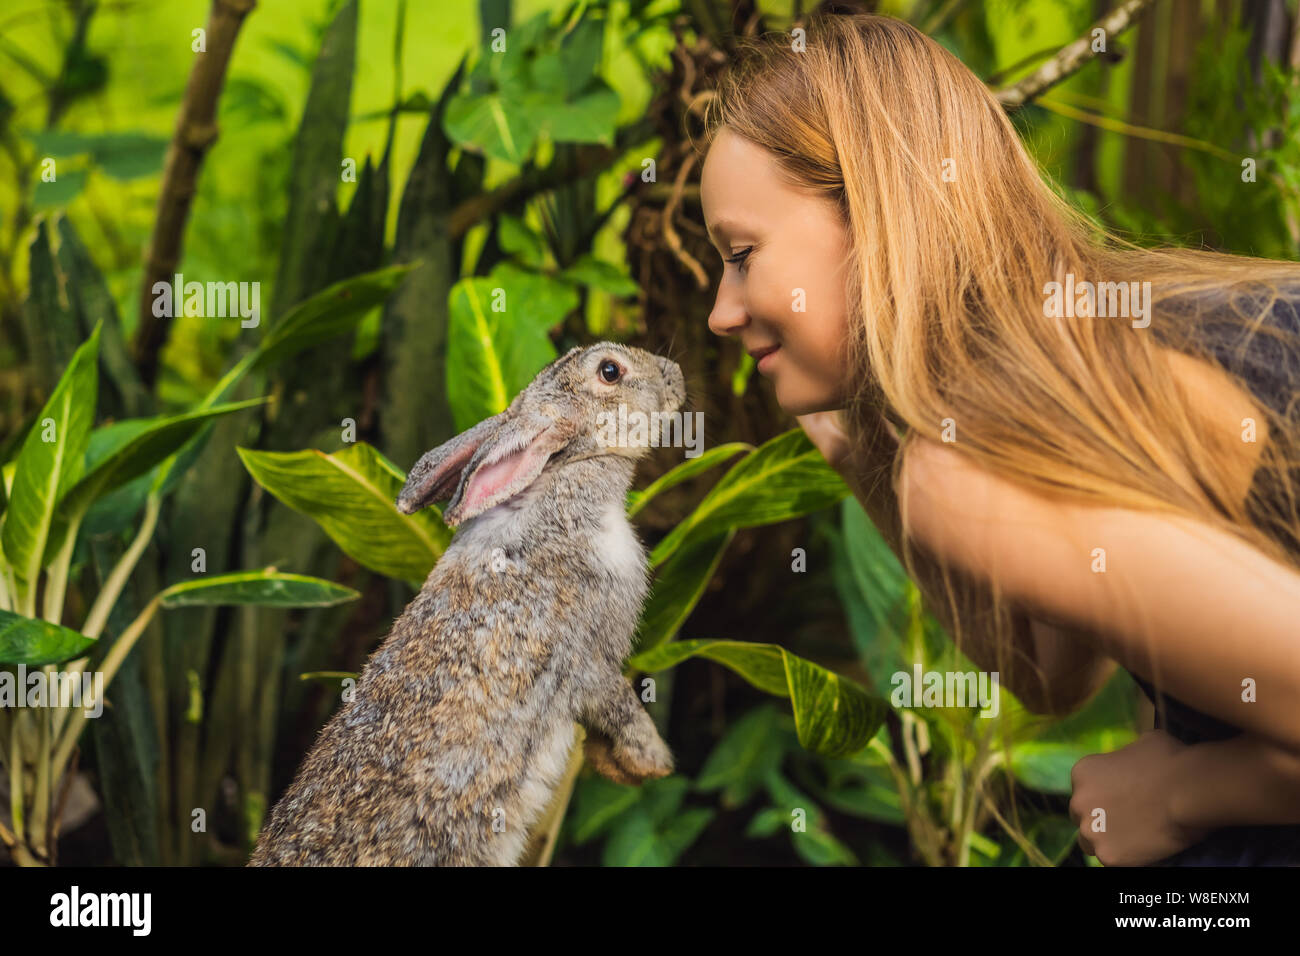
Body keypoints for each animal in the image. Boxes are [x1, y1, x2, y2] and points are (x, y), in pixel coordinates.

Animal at [248, 343, 684, 866]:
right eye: (609, 371)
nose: (676, 374)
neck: (561, 473)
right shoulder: (589, 661)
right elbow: (619, 708)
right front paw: (652, 764)